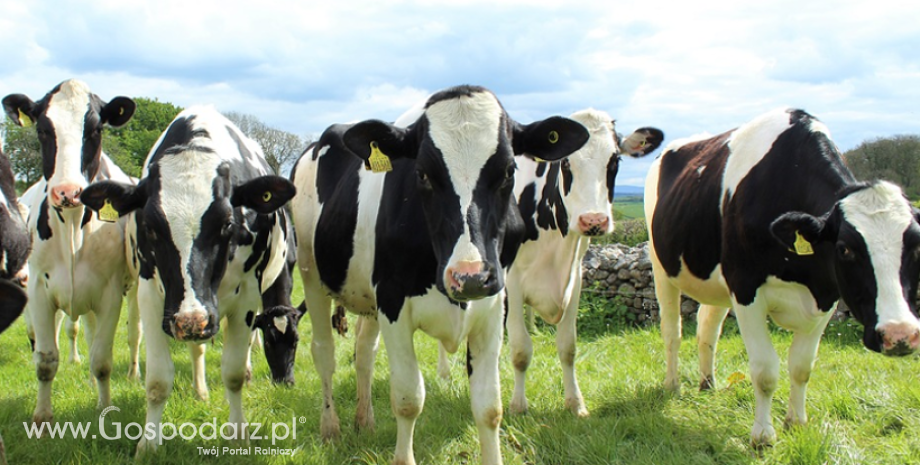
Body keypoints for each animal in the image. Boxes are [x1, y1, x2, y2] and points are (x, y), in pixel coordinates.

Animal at [3, 79, 140, 428]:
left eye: (95, 129)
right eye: (43, 130)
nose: (67, 192)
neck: (73, 230)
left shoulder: (110, 294)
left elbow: (103, 359)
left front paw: (105, 410)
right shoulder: (38, 290)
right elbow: (46, 359)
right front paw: (42, 417)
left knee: (133, 333)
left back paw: (132, 373)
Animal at [80, 106, 294, 454]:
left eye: (226, 223)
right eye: (150, 227)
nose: (190, 320)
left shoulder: (248, 297)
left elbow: (233, 372)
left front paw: (238, 433)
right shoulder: (153, 297)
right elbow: (157, 380)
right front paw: (148, 443)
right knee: (197, 348)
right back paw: (199, 389)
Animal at [290, 84, 588, 464]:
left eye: (509, 171)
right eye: (422, 173)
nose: (469, 276)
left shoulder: (494, 306)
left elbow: (489, 406)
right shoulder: (393, 304)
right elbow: (408, 399)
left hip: (367, 299)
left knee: (364, 353)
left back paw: (365, 420)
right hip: (312, 275)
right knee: (324, 353)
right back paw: (331, 428)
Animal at [504, 109, 660, 416]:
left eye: (615, 160)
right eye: (565, 162)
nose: (593, 220)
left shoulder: (574, 278)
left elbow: (568, 347)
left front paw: (575, 403)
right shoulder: (512, 279)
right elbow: (520, 350)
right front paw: (517, 406)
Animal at [644, 107, 920, 444]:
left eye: (917, 245)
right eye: (844, 249)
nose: (900, 335)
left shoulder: (826, 297)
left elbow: (802, 366)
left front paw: (796, 423)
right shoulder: (745, 288)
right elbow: (765, 370)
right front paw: (763, 435)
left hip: (716, 281)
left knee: (707, 328)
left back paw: (707, 383)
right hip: (662, 267)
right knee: (673, 331)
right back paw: (673, 385)